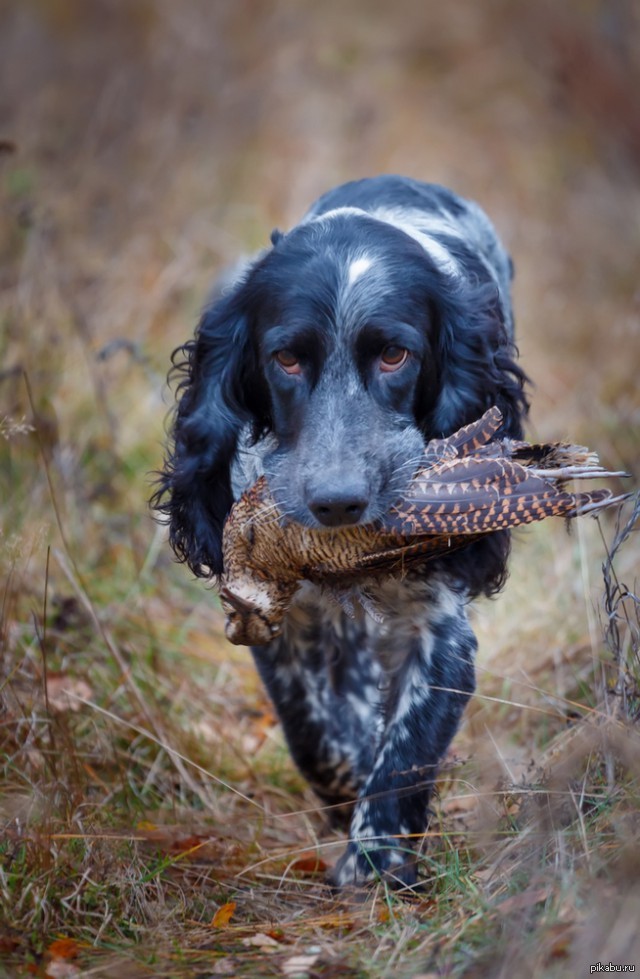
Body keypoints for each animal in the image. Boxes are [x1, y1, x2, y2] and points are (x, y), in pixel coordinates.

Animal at [151, 174, 528, 888]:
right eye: (287, 360)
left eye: (395, 355)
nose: (337, 504)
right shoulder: (278, 616)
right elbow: (313, 733)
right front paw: (348, 789)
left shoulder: (438, 626)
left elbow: (408, 749)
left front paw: (377, 863)